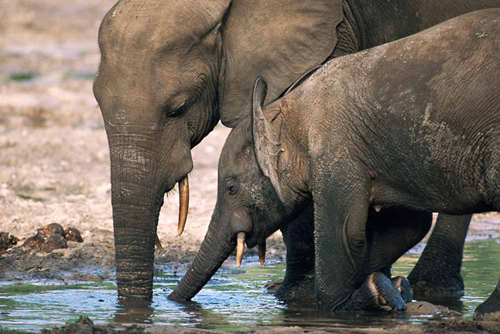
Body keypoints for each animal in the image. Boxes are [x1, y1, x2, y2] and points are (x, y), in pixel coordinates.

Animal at [93, 0, 500, 300]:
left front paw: (296, 297)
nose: (151, 307)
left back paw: (432, 289)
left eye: (177, 108)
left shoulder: (331, 39)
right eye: (96, 100)